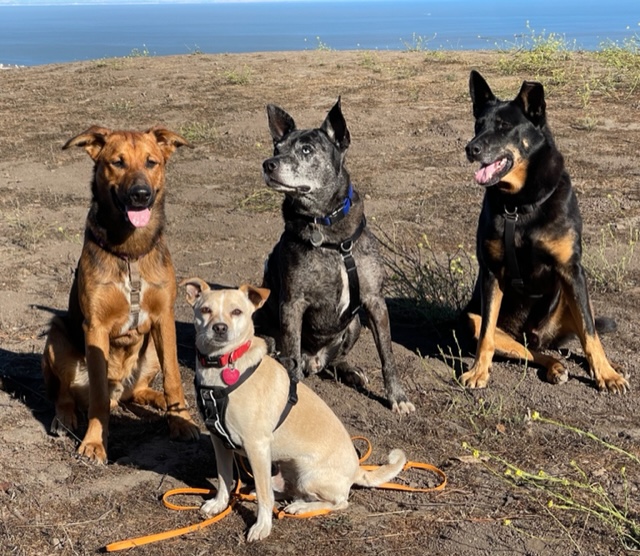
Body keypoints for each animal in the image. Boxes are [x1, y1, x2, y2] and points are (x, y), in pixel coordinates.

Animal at [42, 125, 199, 460]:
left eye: (152, 162)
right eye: (117, 162)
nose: (141, 195)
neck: (131, 252)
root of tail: (122, 387)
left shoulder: (164, 318)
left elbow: (174, 379)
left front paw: (180, 420)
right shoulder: (95, 327)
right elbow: (98, 398)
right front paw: (94, 442)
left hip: (151, 348)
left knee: (137, 390)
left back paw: (157, 399)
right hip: (57, 335)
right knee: (65, 394)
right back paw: (65, 418)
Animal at [182, 280, 408, 540]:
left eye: (236, 311)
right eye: (205, 310)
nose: (219, 328)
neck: (222, 367)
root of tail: (357, 469)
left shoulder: (256, 446)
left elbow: (264, 498)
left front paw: (262, 526)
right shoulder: (219, 441)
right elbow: (223, 478)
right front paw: (219, 504)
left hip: (309, 475)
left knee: (338, 501)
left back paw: (301, 507)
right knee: (285, 490)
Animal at [256, 99, 416, 412]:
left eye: (307, 149)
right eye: (276, 148)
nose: (268, 164)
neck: (329, 234)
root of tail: (315, 360)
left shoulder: (374, 301)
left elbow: (387, 354)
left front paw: (398, 397)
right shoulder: (292, 305)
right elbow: (291, 360)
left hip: (353, 325)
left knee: (335, 360)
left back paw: (349, 371)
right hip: (264, 335)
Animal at [460, 69, 632, 394]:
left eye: (504, 127)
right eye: (478, 125)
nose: (470, 149)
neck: (519, 204)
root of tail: (536, 333)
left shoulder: (571, 271)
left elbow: (590, 334)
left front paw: (606, 374)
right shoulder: (491, 274)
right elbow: (486, 336)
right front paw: (478, 371)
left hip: (571, 298)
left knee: (583, 333)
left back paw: (609, 365)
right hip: (473, 318)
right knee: (529, 350)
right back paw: (554, 367)